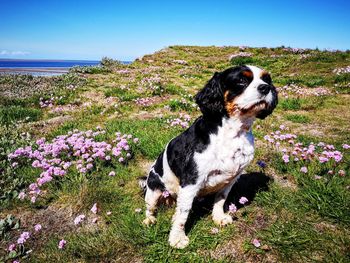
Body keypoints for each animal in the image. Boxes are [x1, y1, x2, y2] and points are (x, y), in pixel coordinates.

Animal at [138, 65, 278, 250]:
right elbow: (183, 214)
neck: (233, 133)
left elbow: (220, 199)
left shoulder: (231, 178)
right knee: (150, 208)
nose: (265, 87)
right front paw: (177, 238)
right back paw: (149, 220)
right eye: (242, 80)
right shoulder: (191, 181)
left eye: (267, 79)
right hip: (153, 190)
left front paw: (219, 217)